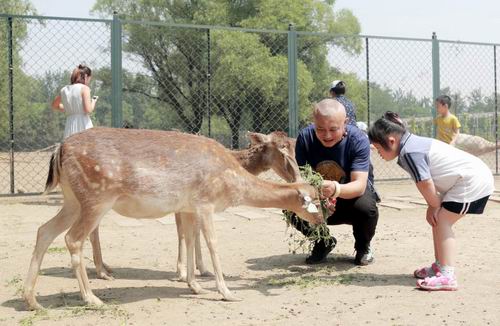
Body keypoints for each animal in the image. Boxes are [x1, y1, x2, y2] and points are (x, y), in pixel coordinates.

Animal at [88, 131, 300, 282]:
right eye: (281, 148)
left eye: (294, 145)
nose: (296, 176)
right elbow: (183, 232)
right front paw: (181, 272)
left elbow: (195, 231)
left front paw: (202, 269)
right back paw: (101, 271)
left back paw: (105, 267)